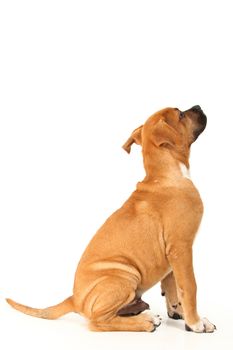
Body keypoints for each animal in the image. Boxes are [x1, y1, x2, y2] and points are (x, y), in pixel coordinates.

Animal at [6, 106, 217, 334]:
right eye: (180, 114)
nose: (198, 107)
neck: (165, 174)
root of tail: (74, 299)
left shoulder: (172, 255)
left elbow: (173, 288)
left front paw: (182, 315)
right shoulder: (181, 248)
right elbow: (189, 287)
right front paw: (196, 322)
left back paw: (138, 309)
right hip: (124, 276)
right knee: (98, 322)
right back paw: (145, 321)